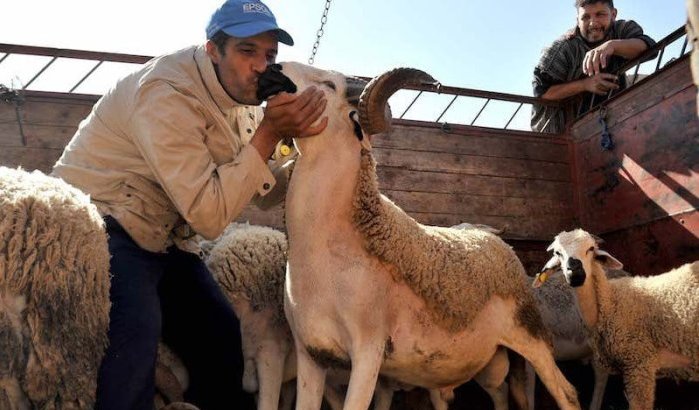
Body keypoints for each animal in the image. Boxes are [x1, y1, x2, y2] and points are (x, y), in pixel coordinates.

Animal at [276, 62, 584, 410]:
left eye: (330, 85)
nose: (277, 68)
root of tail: (491, 238)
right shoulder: (311, 354)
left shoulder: (368, 352)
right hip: (487, 363)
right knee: (499, 393)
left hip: (530, 335)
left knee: (566, 392)